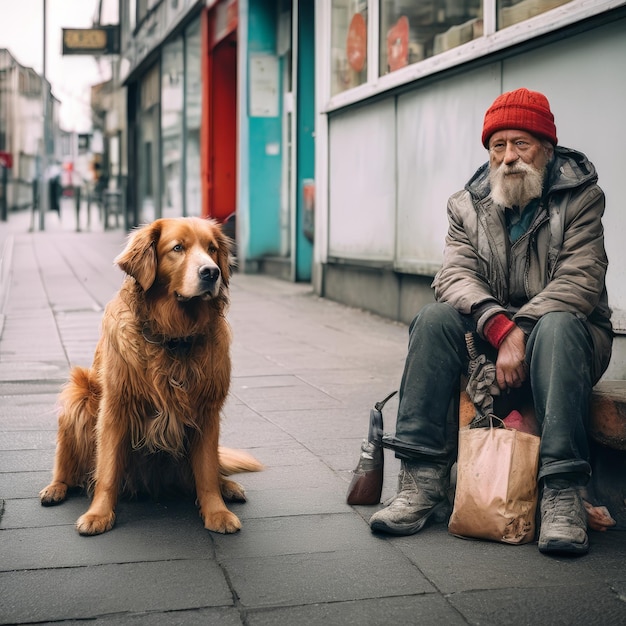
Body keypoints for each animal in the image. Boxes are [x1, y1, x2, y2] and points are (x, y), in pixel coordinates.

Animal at [40, 214, 260, 532]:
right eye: (178, 248)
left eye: (212, 248)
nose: (212, 272)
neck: (174, 336)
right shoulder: (115, 408)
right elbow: (107, 471)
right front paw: (98, 515)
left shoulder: (207, 412)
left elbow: (206, 472)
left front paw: (217, 512)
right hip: (78, 396)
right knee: (67, 464)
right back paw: (56, 488)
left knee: (209, 471)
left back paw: (228, 486)